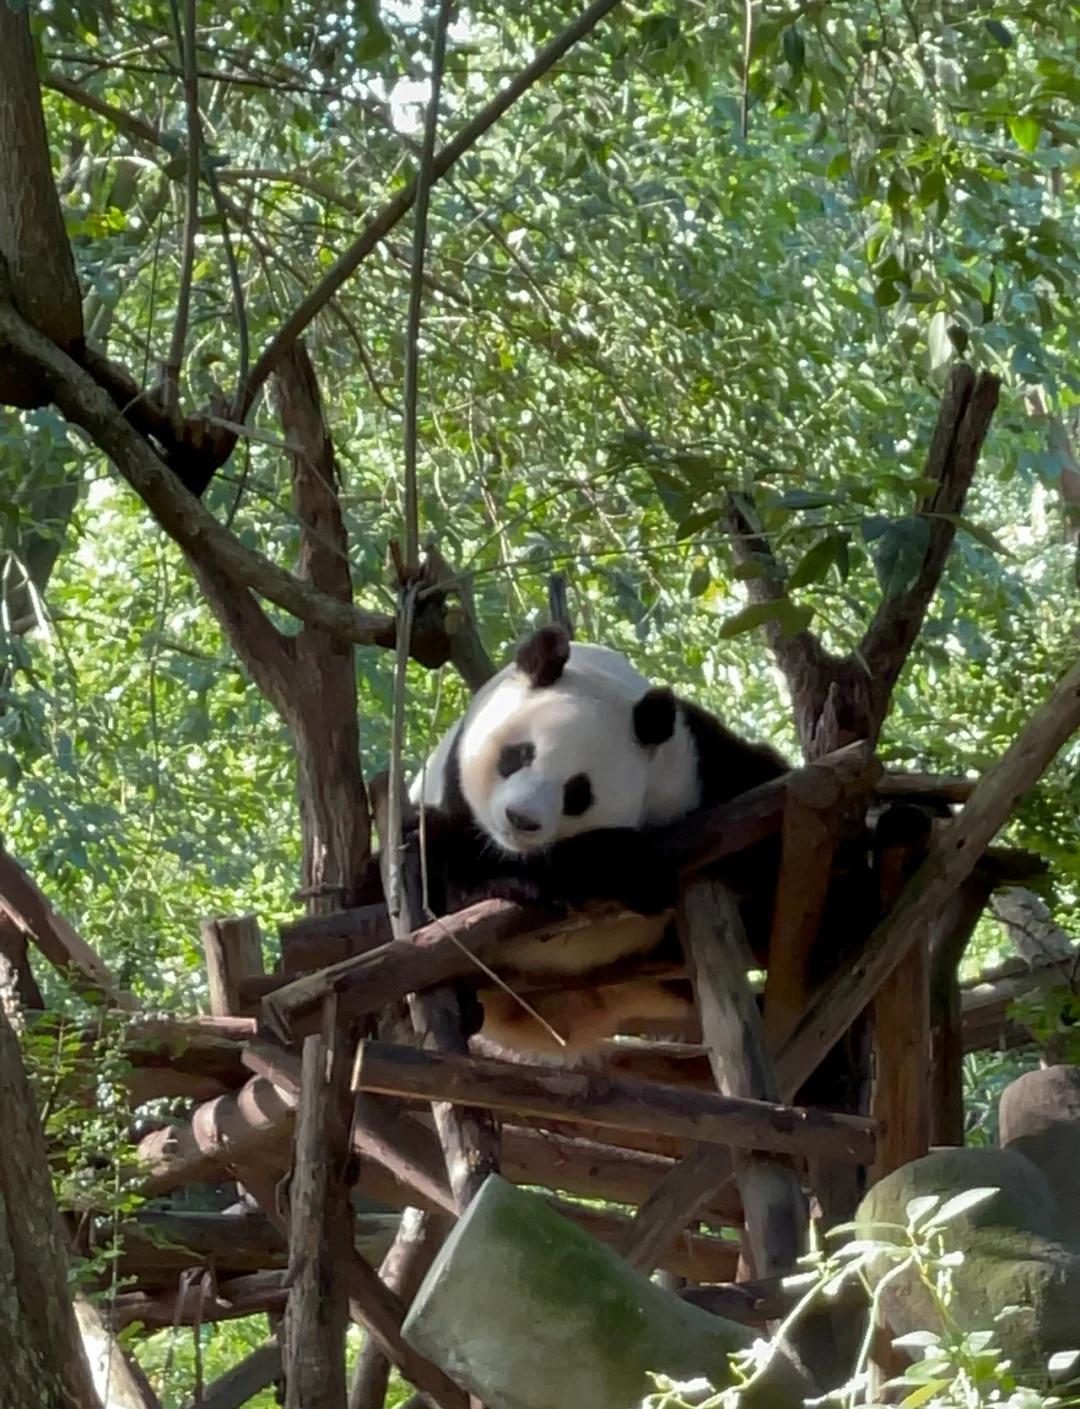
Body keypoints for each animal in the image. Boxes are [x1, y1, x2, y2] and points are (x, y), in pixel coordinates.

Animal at [407, 625, 790, 1059]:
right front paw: (623, 862)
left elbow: (762, 814)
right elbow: (455, 866)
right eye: (519, 755)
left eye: (578, 792)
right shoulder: (450, 804)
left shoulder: (697, 765)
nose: (520, 819)